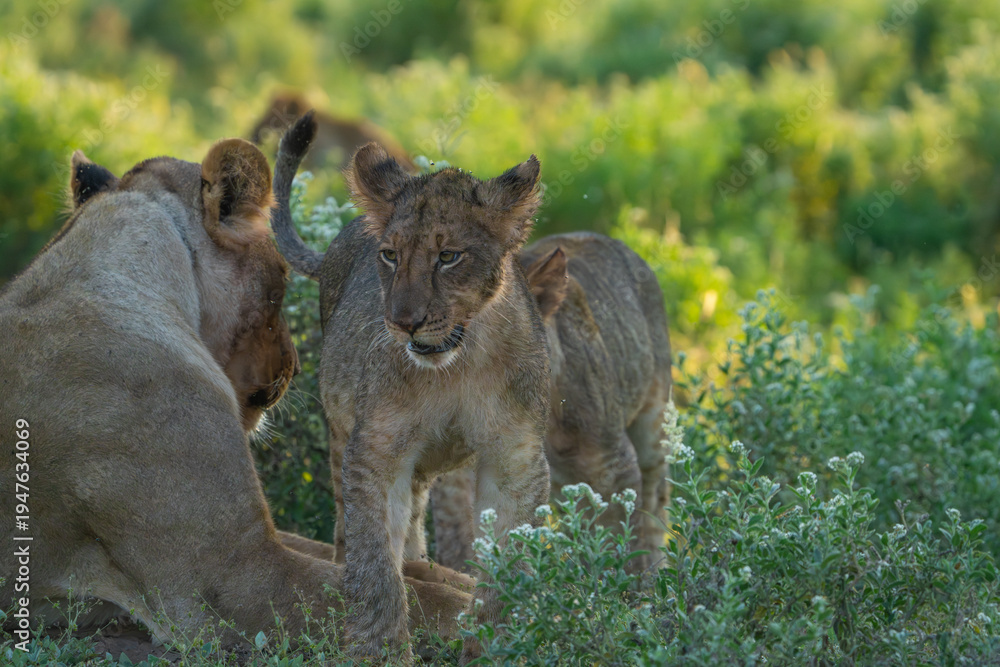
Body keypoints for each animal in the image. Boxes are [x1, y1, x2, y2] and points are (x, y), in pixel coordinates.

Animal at [272, 113, 551, 663]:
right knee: (350, 528)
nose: (404, 322)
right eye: (389, 255)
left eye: (449, 256)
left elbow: (507, 559)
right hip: (341, 429)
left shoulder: (516, 455)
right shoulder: (376, 447)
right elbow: (376, 561)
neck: (455, 368)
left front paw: (496, 643)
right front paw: (381, 649)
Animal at [430, 233, 672, 574]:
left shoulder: (613, 466)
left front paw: (629, 585)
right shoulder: (454, 477)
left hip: (653, 418)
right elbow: (460, 539)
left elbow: (622, 540)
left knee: (656, 495)